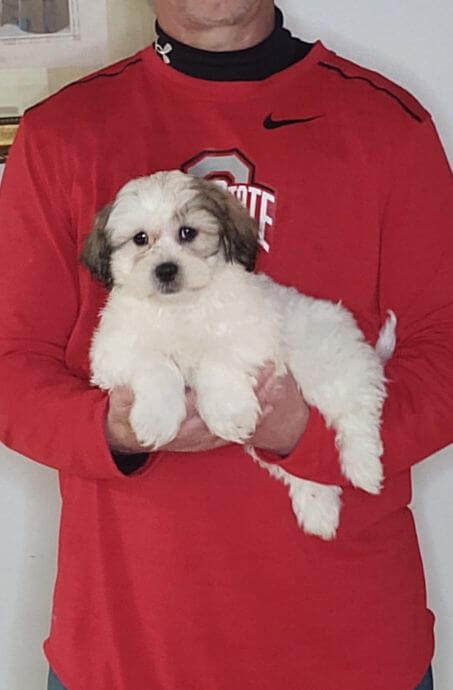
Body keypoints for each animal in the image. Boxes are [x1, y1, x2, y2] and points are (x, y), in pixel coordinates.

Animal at [82, 171, 392, 536]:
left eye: (188, 232)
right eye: (140, 239)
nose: (166, 269)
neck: (180, 308)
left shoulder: (252, 336)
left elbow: (216, 360)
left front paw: (227, 412)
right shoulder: (113, 350)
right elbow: (156, 365)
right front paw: (156, 418)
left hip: (327, 368)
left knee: (357, 413)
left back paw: (364, 468)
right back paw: (319, 509)